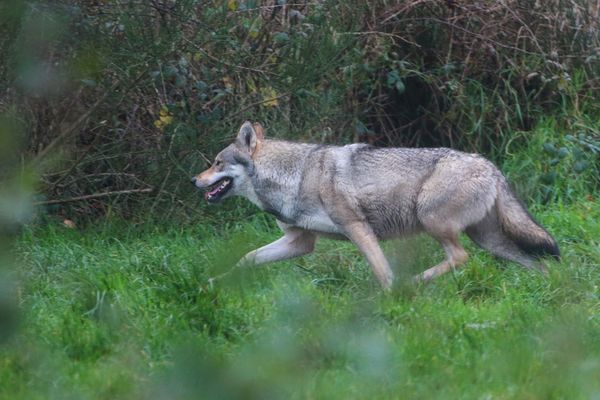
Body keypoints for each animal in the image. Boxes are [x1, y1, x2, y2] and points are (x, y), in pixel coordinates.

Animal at [191, 120, 556, 290]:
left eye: (217, 163)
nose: (194, 180)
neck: (294, 175)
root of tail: (490, 166)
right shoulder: (300, 243)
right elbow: (247, 258)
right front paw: (214, 283)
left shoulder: (358, 228)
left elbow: (382, 272)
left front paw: (392, 297)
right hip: (492, 242)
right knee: (539, 264)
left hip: (435, 222)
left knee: (460, 257)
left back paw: (415, 282)